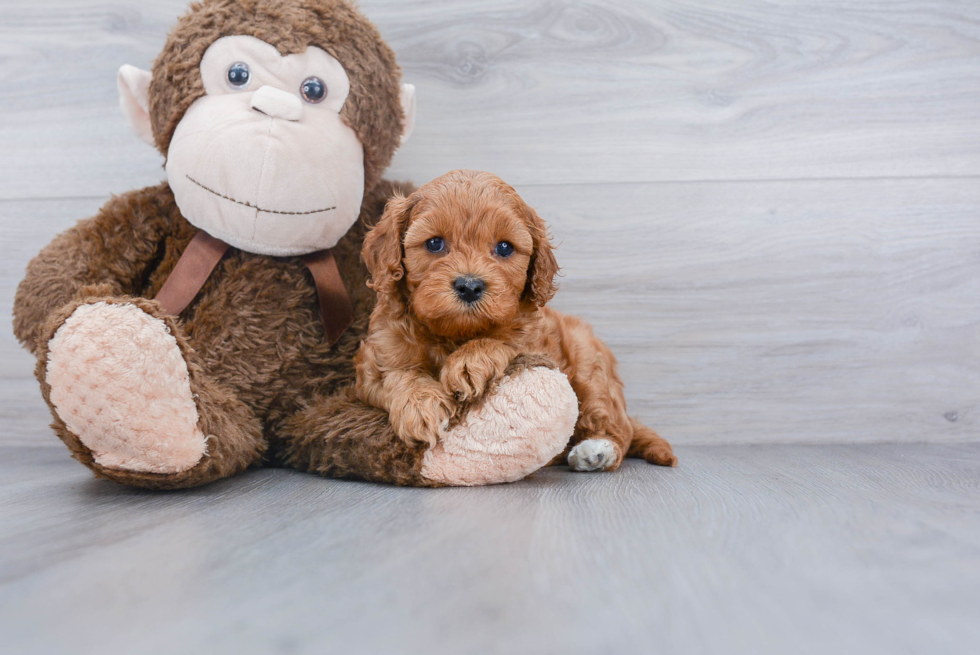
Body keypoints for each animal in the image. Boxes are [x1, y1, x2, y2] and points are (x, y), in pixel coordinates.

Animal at [356, 169, 676, 472]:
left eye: (504, 247)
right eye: (434, 243)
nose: (469, 286)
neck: (455, 333)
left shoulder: (535, 341)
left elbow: (504, 341)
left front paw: (469, 362)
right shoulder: (375, 359)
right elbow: (399, 373)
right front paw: (422, 406)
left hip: (590, 365)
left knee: (616, 424)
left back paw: (596, 450)